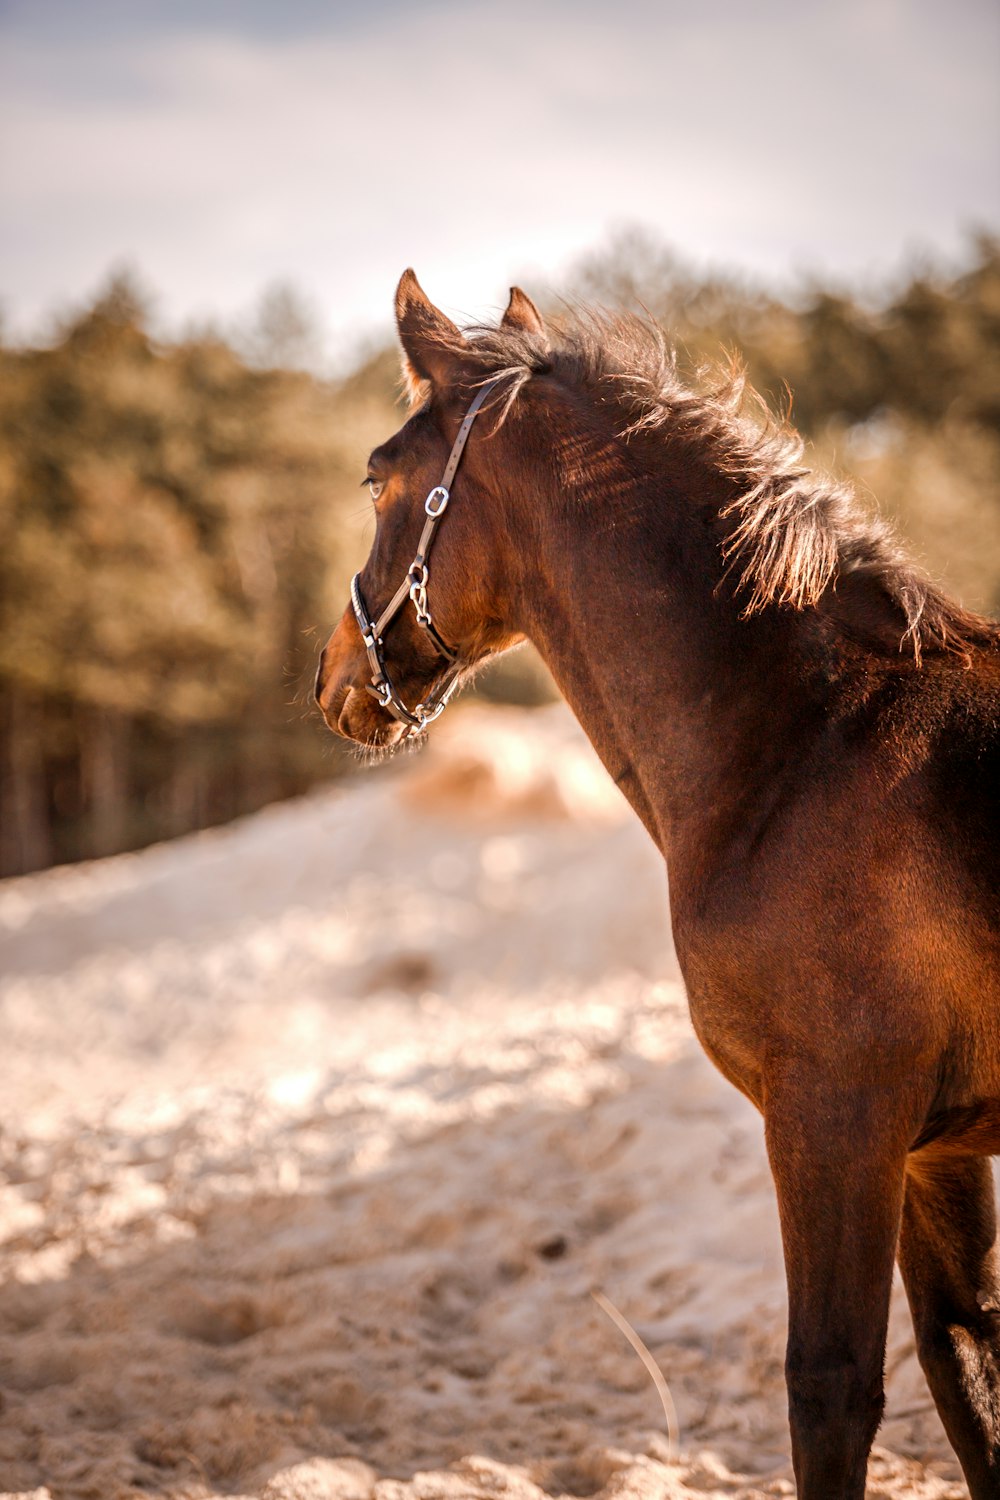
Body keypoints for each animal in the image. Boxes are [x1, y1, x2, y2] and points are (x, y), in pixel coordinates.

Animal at [316, 273, 1000, 1500]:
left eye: (378, 475)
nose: (333, 672)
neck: (811, 743)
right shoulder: (938, 1148)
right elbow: (968, 1373)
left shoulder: (834, 1124)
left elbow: (830, 1389)